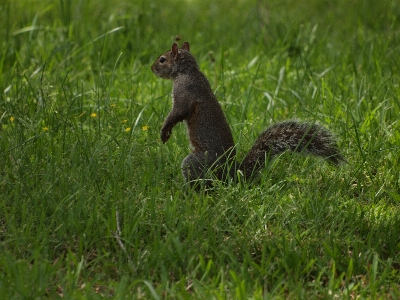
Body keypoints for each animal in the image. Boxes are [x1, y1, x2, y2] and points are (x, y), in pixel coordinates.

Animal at [152, 41, 346, 184]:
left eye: (162, 59)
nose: (152, 68)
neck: (187, 71)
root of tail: (232, 174)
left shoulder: (185, 92)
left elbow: (178, 112)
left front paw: (164, 130)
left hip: (197, 162)